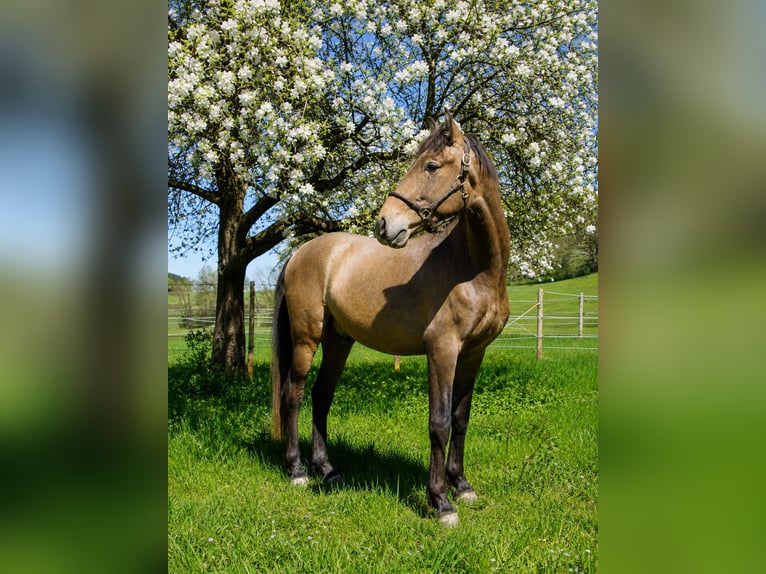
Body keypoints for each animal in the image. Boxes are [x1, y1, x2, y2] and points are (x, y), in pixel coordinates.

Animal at [270, 112, 510, 526]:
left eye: (431, 166)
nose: (385, 225)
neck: (476, 269)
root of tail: (301, 253)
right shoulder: (442, 351)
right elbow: (439, 423)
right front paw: (440, 501)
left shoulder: (473, 353)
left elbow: (461, 418)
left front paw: (462, 486)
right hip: (305, 339)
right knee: (293, 396)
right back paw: (297, 470)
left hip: (338, 342)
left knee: (321, 395)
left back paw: (327, 470)